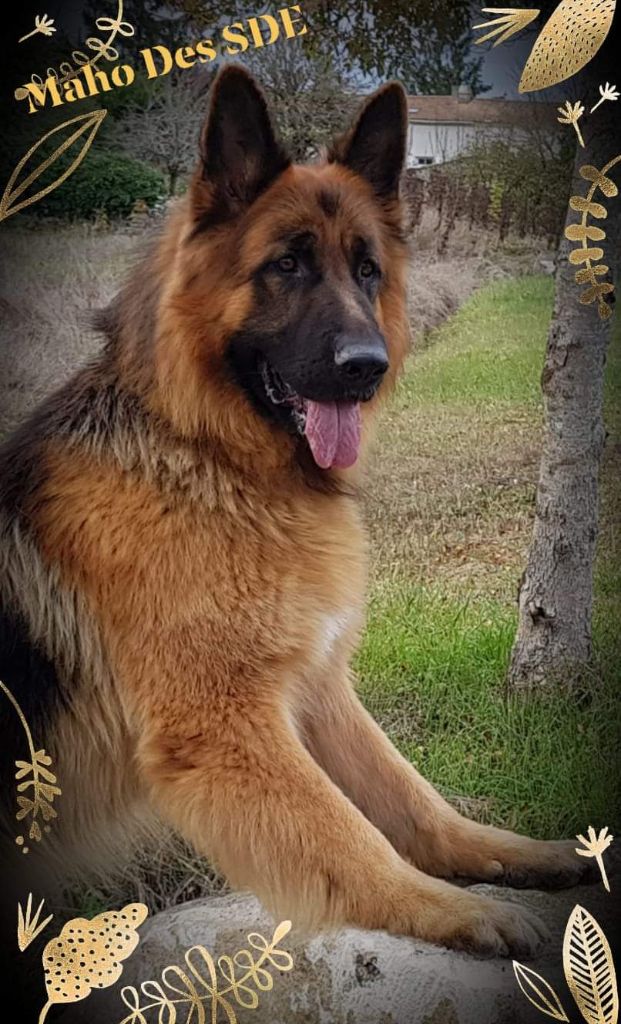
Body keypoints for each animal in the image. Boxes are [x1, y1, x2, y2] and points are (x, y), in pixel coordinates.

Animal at [0, 68, 594, 954]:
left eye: (367, 270)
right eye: (285, 265)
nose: (367, 367)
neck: (207, 457)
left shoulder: (316, 692)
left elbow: (409, 800)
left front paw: (509, 856)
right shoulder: (229, 727)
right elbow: (344, 835)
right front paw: (451, 908)